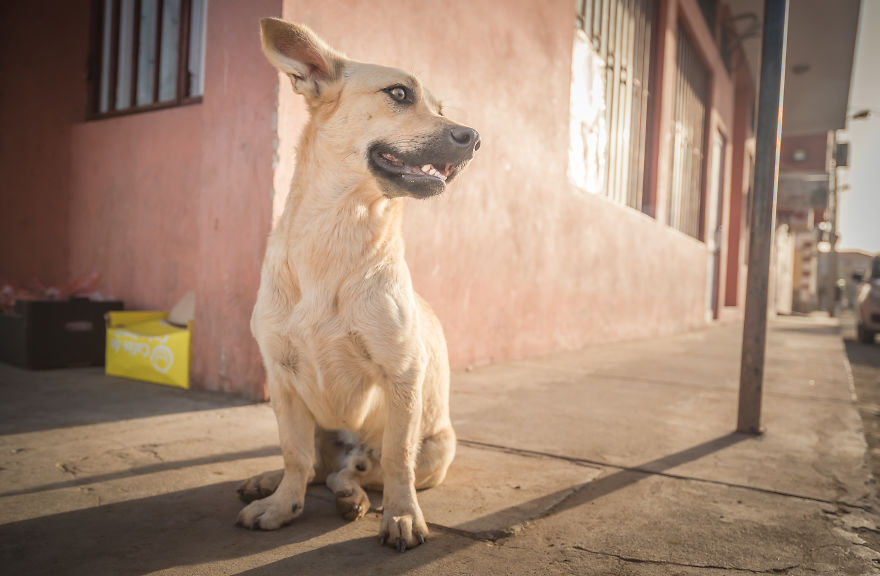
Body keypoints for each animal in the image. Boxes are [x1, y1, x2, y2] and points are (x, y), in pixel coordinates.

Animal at [237, 19, 478, 552]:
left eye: (442, 109)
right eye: (399, 93)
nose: (474, 138)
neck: (338, 233)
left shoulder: (402, 375)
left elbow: (397, 459)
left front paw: (403, 516)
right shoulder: (281, 378)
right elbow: (293, 454)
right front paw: (282, 506)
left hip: (438, 446)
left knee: (356, 470)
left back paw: (355, 495)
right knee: (316, 466)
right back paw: (270, 483)